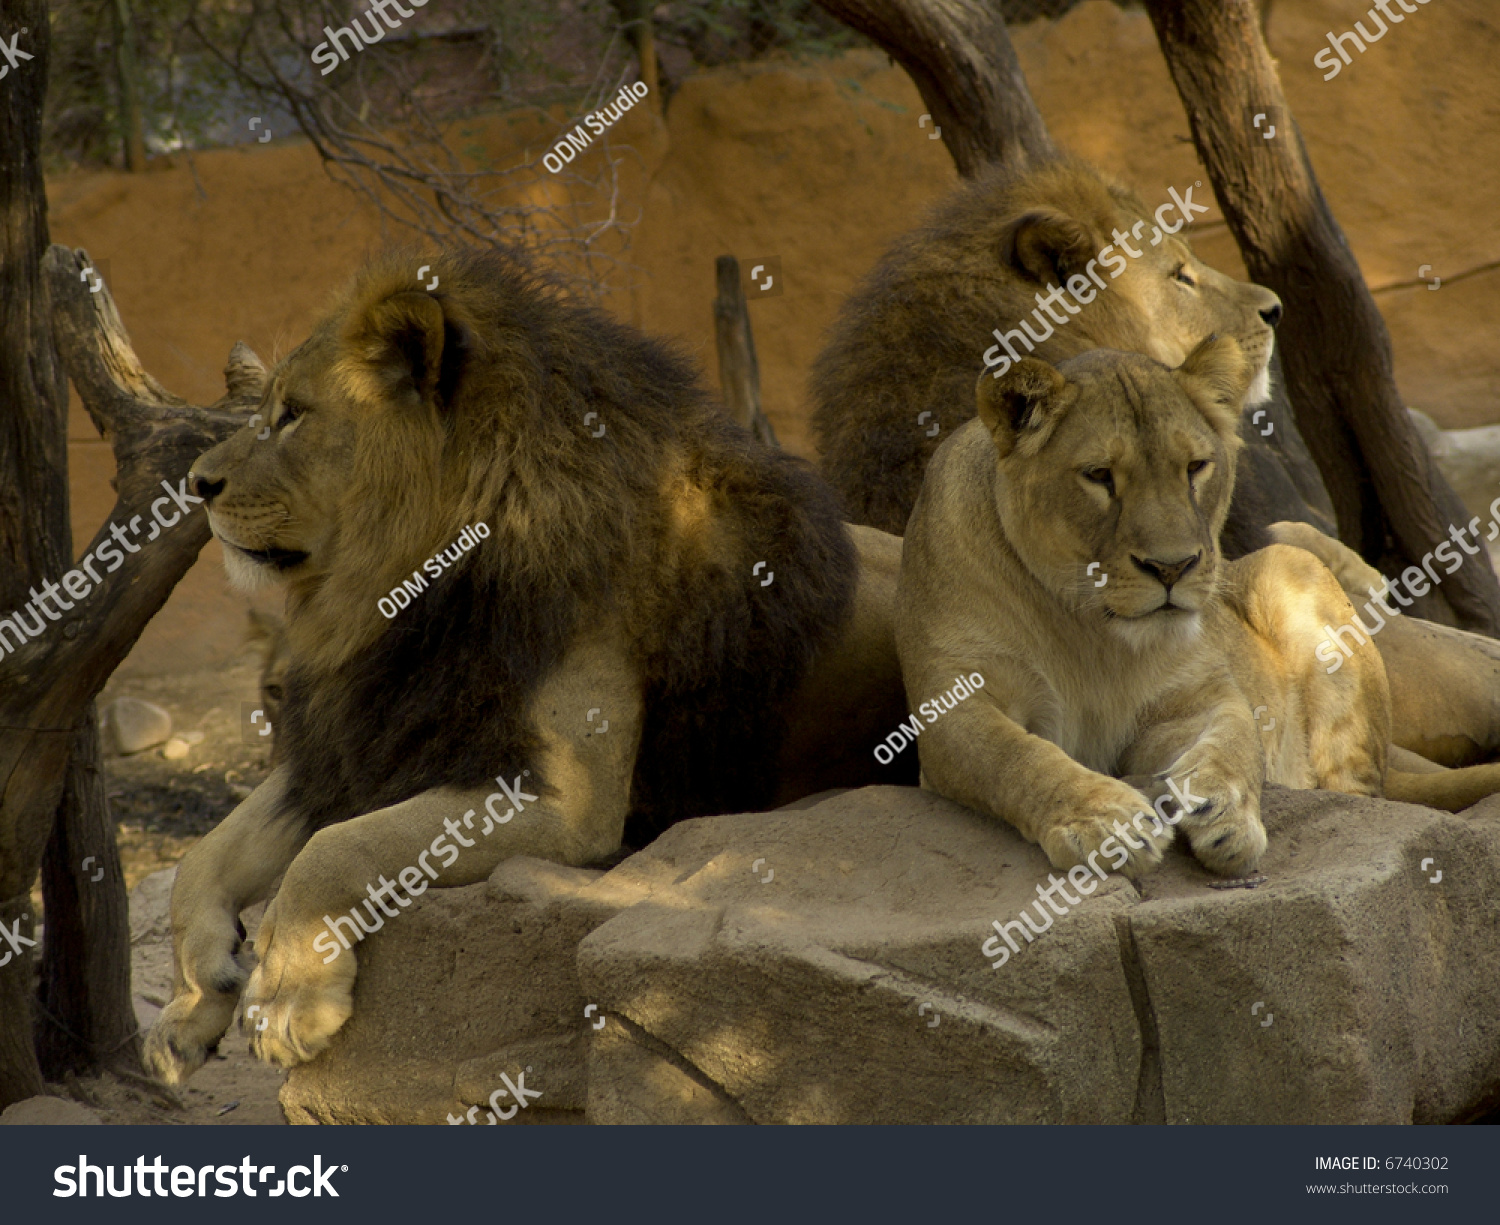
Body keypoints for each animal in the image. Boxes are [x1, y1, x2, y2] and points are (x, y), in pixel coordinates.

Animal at [149, 248, 900, 1079]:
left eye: (293, 414)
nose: (196, 484)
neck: (399, 591)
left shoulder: (565, 799)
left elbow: (334, 849)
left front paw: (284, 999)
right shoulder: (362, 742)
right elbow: (203, 857)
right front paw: (194, 1000)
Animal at [894, 338, 1500, 875]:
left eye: (1195, 468)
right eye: (1099, 476)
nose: (1172, 567)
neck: (1089, 628)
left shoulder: (1195, 697)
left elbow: (1234, 743)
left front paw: (1225, 813)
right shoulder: (951, 709)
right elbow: (1016, 759)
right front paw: (1106, 823)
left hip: (1289, 564)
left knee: (1363, 795)